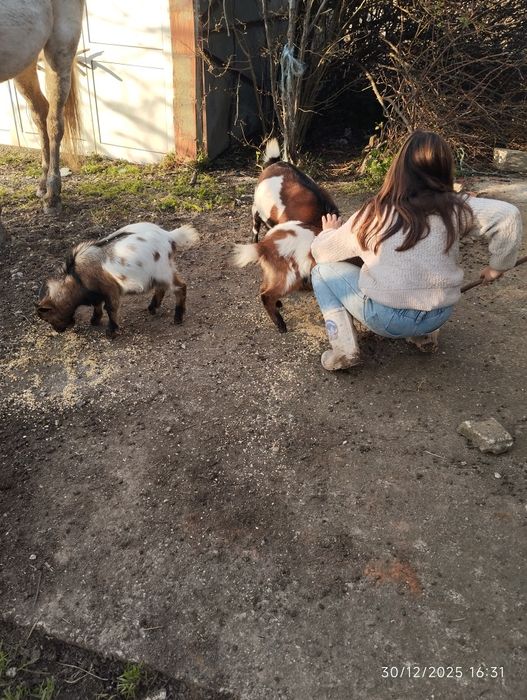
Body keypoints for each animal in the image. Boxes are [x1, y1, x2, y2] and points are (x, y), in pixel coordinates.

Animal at [36, 222, 199, 337]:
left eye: (47, 317)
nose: (59, 330)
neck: (77, 278)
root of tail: (169, 236)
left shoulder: (110, 289)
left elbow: (110, 308)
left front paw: (111, 331)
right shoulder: (97, 293)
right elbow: (97, 305)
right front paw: (95, 320)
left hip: (164, 271)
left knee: (180, 287)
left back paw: (178, 317)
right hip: (159, 274)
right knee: (161, 288)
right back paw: (152, 308)